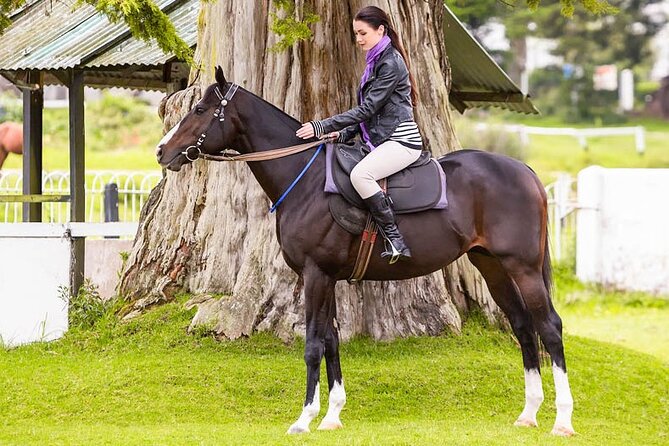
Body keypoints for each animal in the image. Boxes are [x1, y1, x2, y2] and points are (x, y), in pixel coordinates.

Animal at [155, 67, 575, 437]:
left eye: (200, 110)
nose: (162, 151)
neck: (305, 180)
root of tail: (524, 170)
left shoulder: (315, 275)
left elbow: (313, 345)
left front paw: (304, 419)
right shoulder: (325, 277)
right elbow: (331, 340)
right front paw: (331, 416)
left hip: (522, 267)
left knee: (549, 327)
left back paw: (562, 420)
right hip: (492, 267)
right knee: (522, 325)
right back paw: (528, 413)